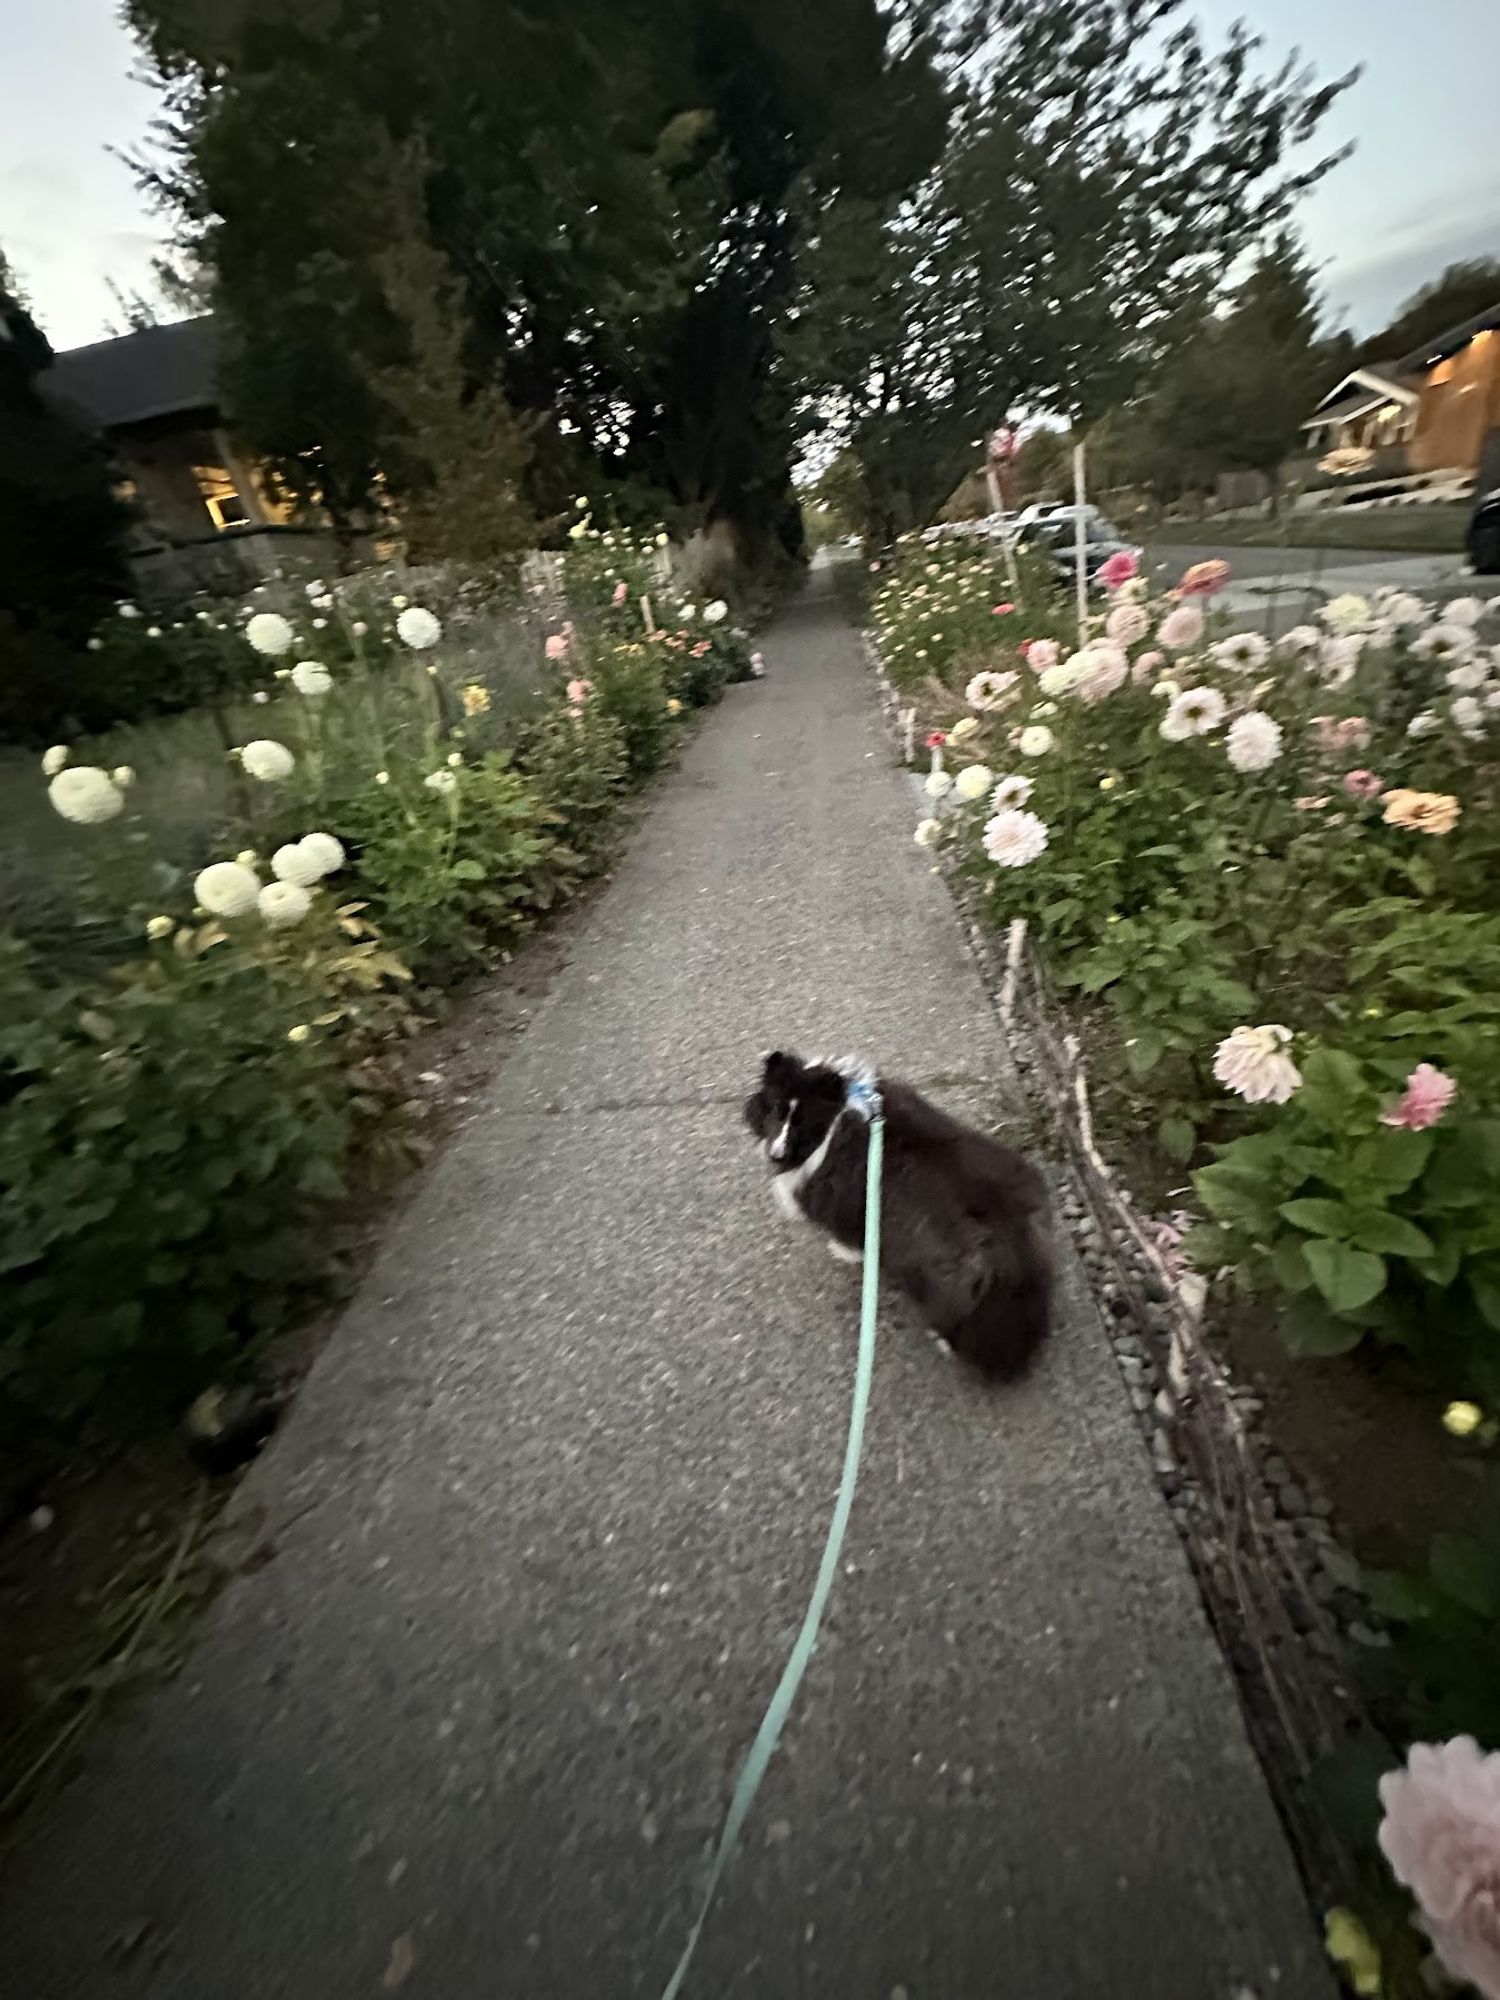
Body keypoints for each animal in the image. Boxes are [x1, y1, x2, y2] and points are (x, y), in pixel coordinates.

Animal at [744, 1056, 1048, 1384]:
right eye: (776, 1110)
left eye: (802, 1122)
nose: (775, 1155)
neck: (836, 1115)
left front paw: (843, 1252)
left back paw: (944, 1341)